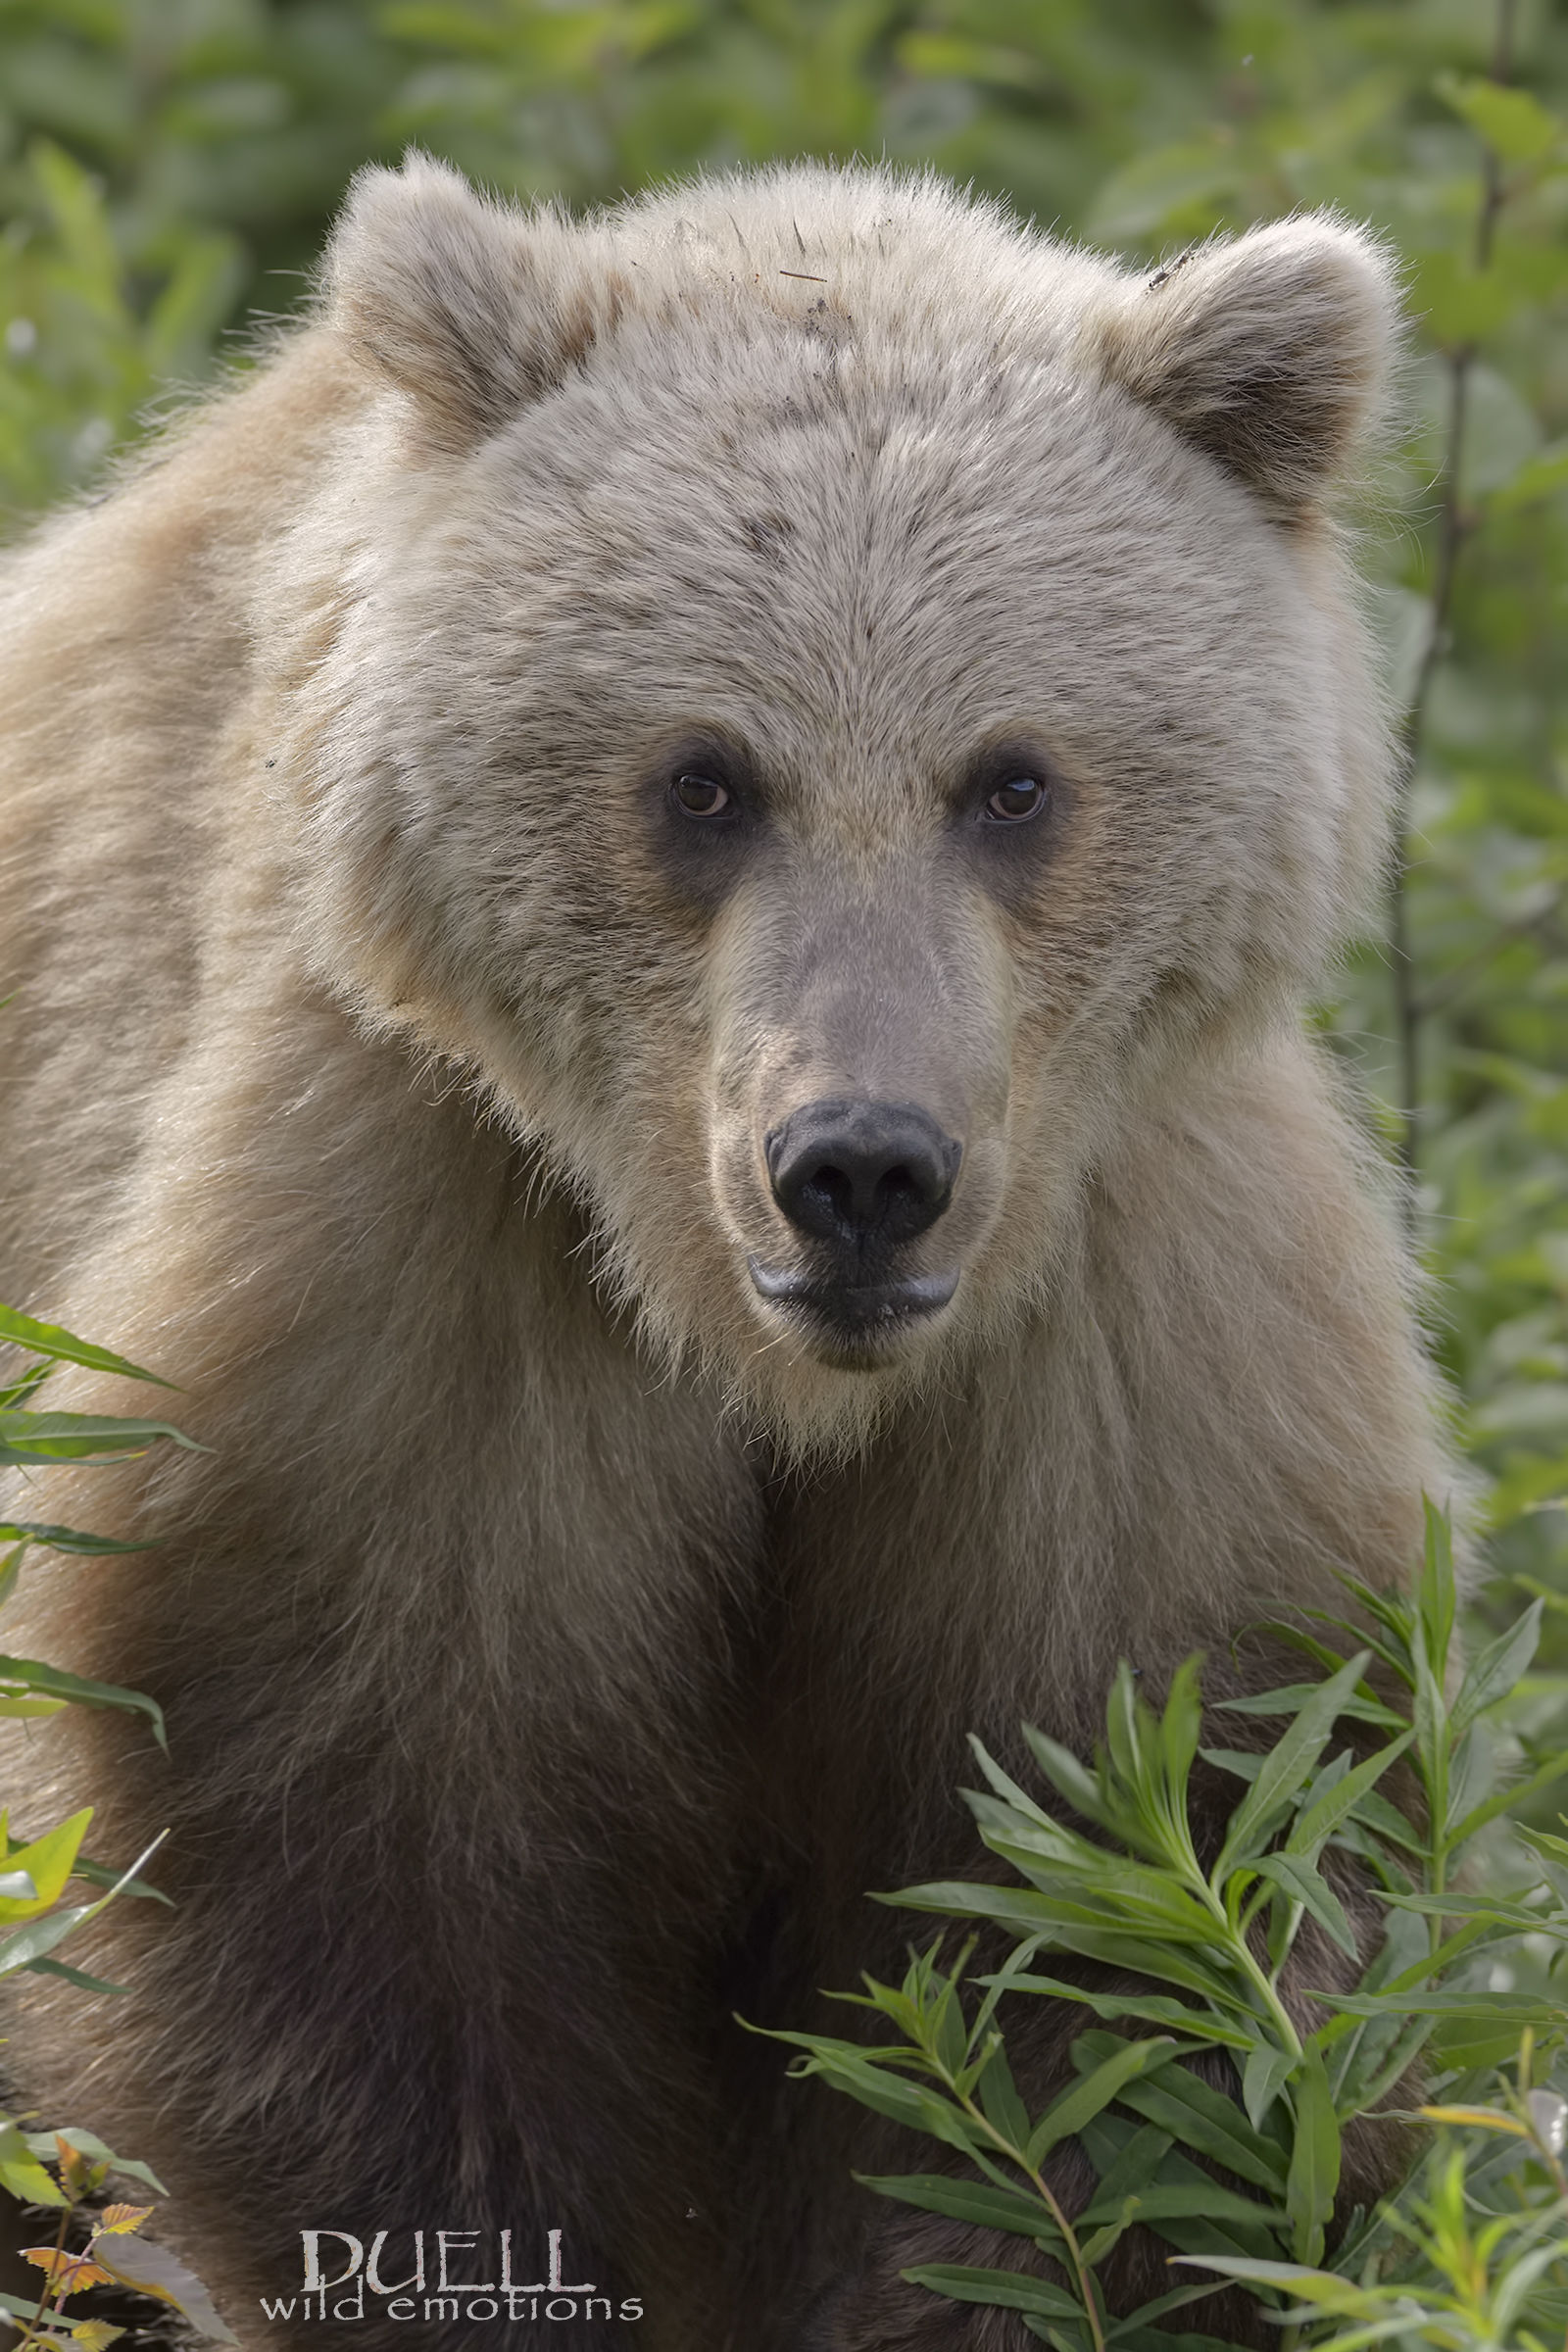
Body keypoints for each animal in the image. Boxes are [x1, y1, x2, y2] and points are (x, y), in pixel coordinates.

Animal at [0, 156, 1454, 2352]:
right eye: (704, 777)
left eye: (1010, 779)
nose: (857, 1169)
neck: (767, 1372)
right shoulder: (424, 1262)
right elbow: (357, 1874)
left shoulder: (1112, 1344)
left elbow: (1103, 1920)